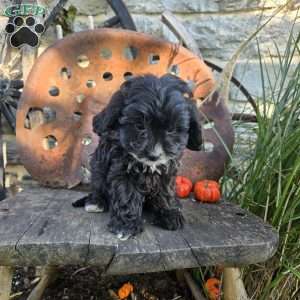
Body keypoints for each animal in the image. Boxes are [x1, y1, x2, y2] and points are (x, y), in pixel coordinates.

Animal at [73, 74, 202, 239]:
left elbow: (166, 192)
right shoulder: (122, 170)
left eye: (172, 129)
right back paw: (95, 202)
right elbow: (126, 194)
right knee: (97, 185)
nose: (154, 155)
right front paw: (126, 225)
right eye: (140, 126)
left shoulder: (168, 171)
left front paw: (169, 213)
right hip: (98, 169)